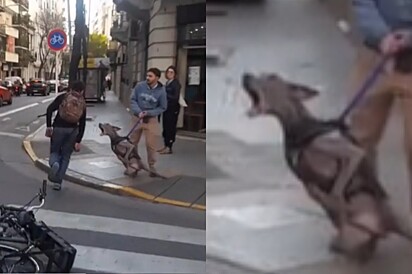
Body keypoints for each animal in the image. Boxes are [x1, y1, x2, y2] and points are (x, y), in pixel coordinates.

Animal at [241, 72, 412, 262]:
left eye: (271, 77)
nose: (245, 75)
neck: (299, 127)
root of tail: (385, 227)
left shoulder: (354, 154)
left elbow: (336, 194)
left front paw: (340, 212)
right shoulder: (306, 181)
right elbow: (320, 195)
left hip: (400, 219)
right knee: (364, 242)